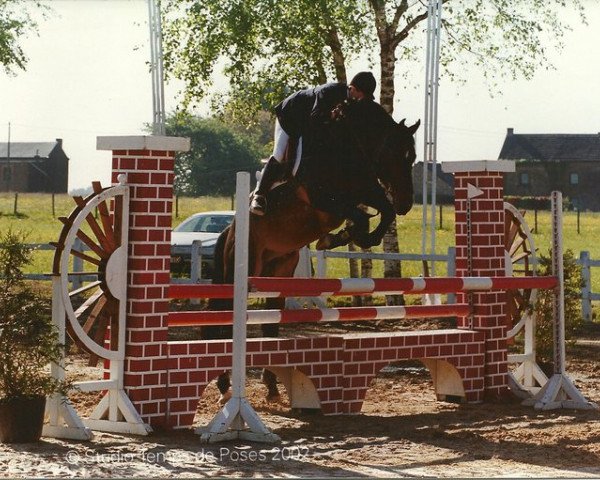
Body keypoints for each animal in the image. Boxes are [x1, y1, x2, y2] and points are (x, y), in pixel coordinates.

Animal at [204, 102, 420, 404]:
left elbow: (381, 212)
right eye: (395, 154)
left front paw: (353, 236)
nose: (406, 204)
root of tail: (230, 229)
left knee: (270, 323)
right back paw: (225, 386)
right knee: (224, 316)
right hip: (244, 267)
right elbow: (359, 215)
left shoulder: (366, 192)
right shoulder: (325, 200)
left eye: (412, 157)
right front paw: (342, 236)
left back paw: (271, 386)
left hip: (279, 271)